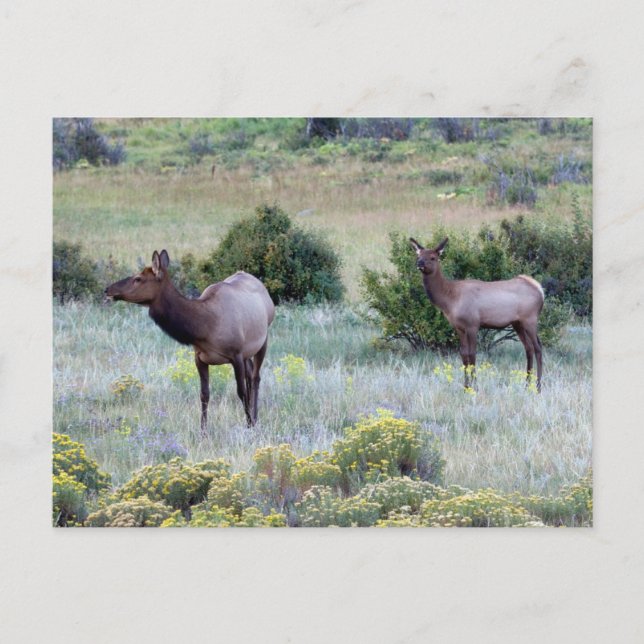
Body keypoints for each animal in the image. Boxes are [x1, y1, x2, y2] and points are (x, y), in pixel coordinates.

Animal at [105, 250, 275, 433]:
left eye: (138, 278)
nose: (107, 289)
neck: (205, 327)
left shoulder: (236, 354)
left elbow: (240, 391)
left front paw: (249, 424)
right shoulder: (200, 357)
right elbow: (204, 394)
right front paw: (203, 431)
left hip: (263, 339)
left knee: (255, 378)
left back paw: (255, 417)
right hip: (247, 353)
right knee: (250, 375)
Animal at [409, 237, 544, 391]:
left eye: (433, 257)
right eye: (418, 255)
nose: (419, 263)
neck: (449, 300)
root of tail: (540, 291)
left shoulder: (472, 324)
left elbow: (472, 354)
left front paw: (475, 387)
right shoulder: (459, 327)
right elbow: (463, 354)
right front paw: (466, 387)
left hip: (530, 319)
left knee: (538, 348)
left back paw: (538, 387)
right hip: (518, 323)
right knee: (528, 348)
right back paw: (527, 385)